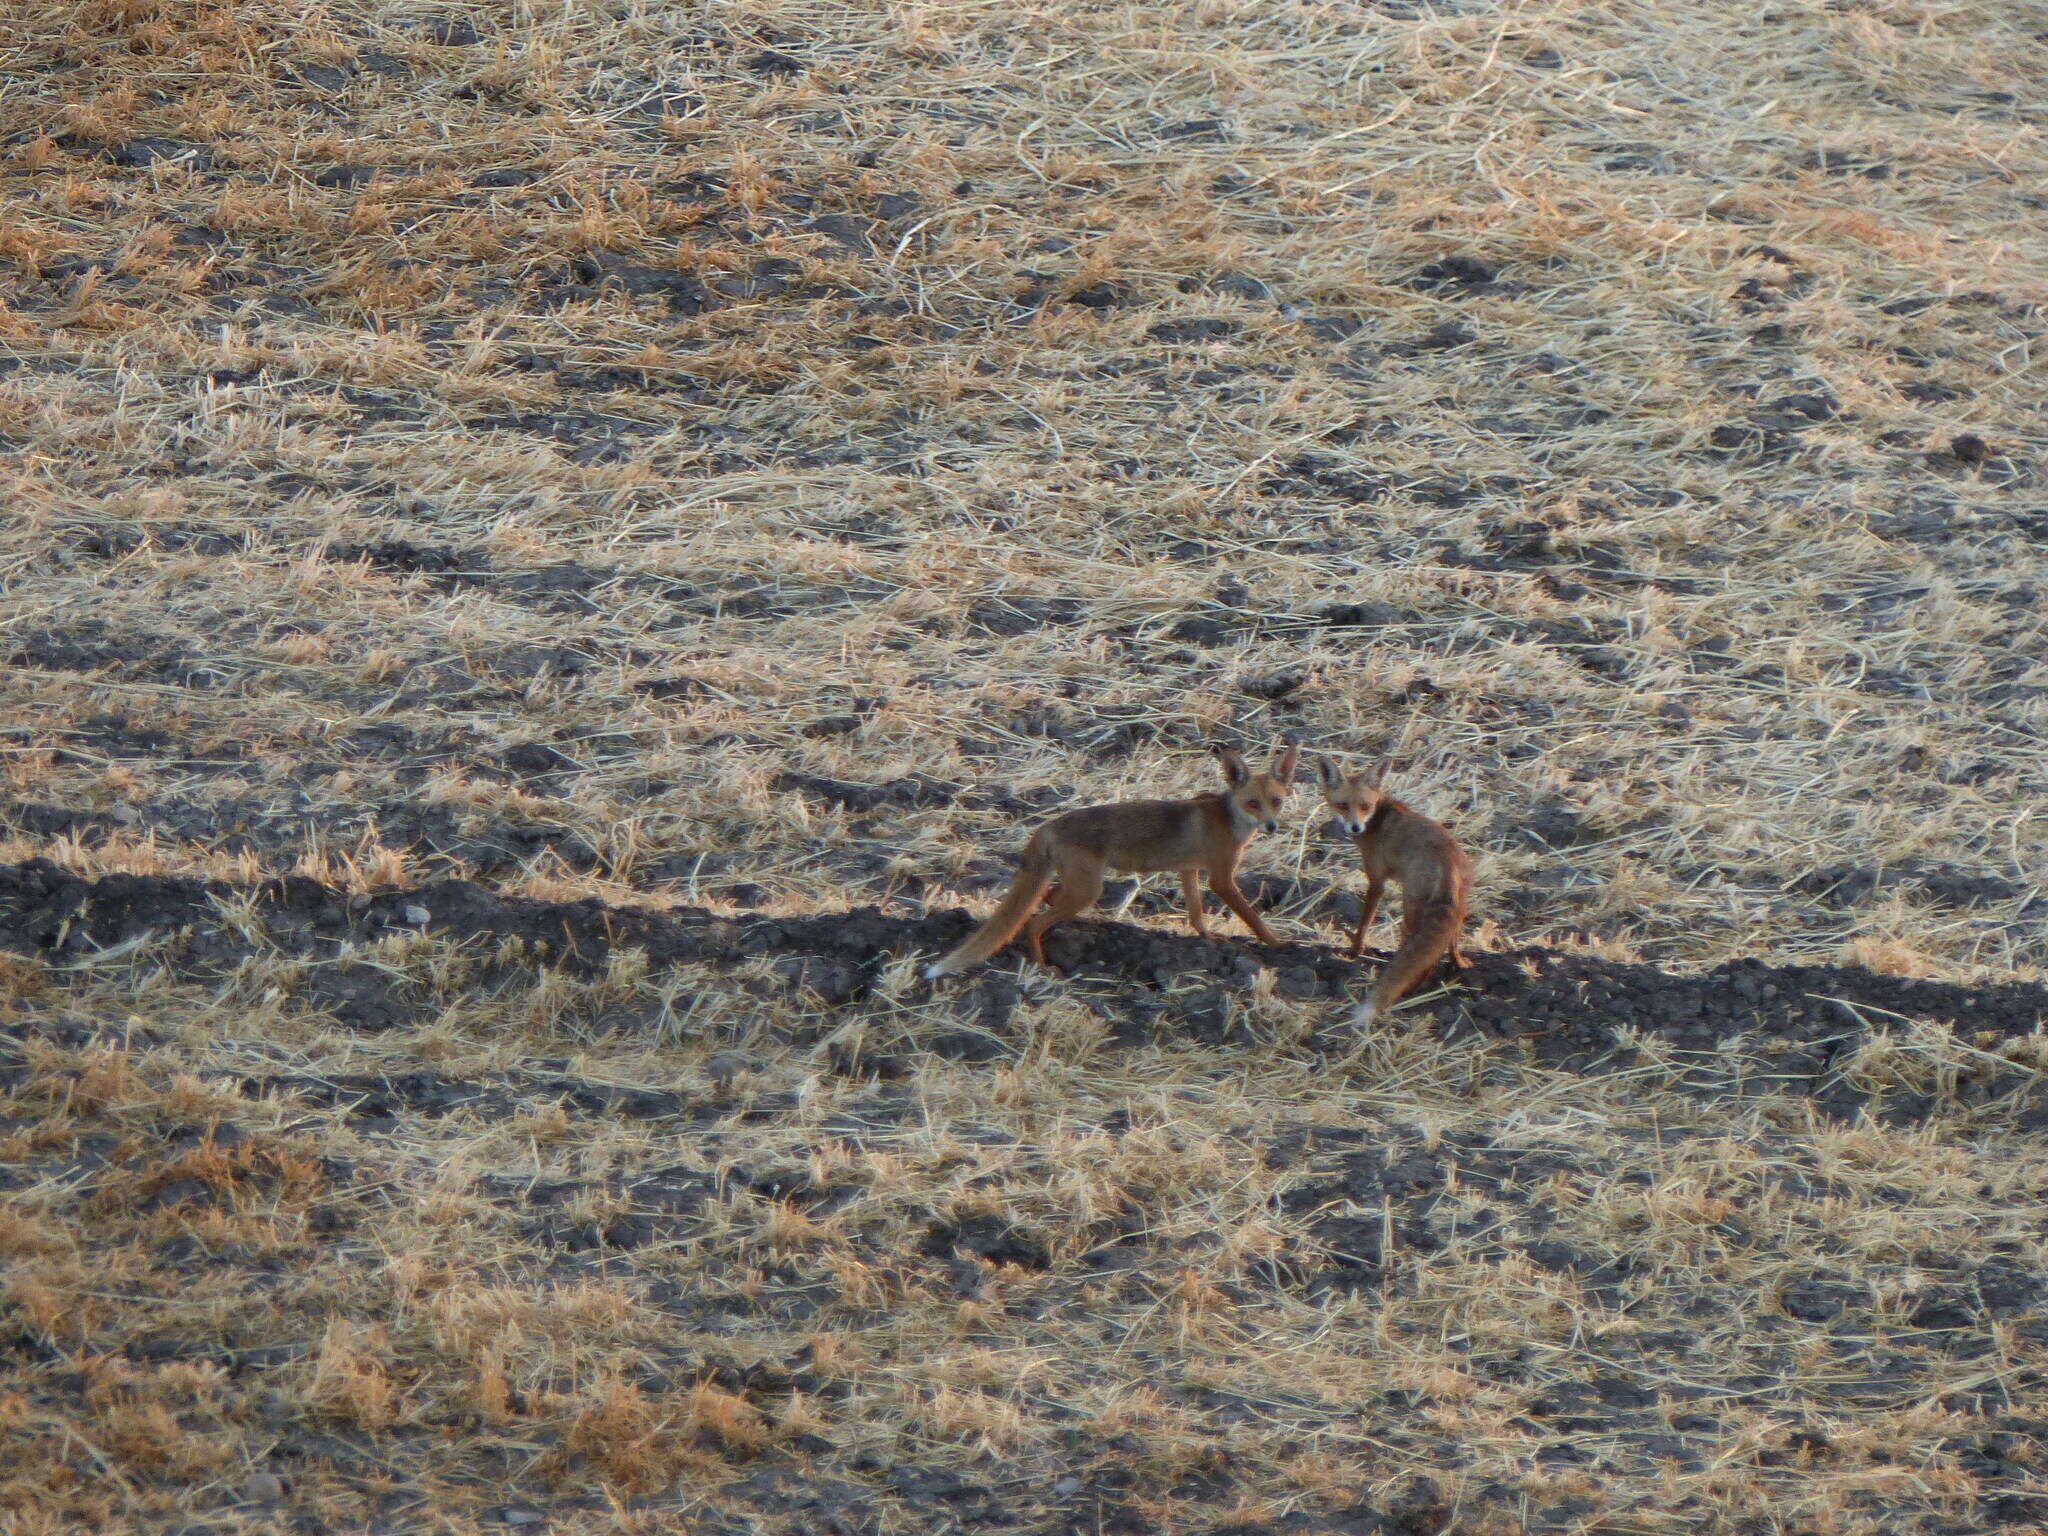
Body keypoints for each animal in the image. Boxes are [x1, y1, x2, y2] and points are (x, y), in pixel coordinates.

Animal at [925, 753, 1294, 978]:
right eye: (1253, 803)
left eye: (1276, 801)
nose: (1272, 827)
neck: (1228, 819)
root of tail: (1047, 826)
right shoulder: (1220, 877)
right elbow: (1252, 917)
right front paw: (1277, 944)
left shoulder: (1189, 869)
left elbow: (1196, 911)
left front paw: (1207, 936)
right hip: (1088, 888)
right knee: (1032, 923)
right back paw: (1044, 967)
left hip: (1080, 885)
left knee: (1048, 897)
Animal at [1310, 753, 1474, 1024]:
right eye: (1343, 805)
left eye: (1364, 805)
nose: (1355, 828)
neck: (1379, 817)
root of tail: (1447, 862)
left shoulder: (1376, 880)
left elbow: (1364, 922)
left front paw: (1354, 951)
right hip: (1460, 907)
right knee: (1450, 942)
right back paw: (1458, 964)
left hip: (1411, 908)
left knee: (1421, 957)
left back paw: (1408, 987)